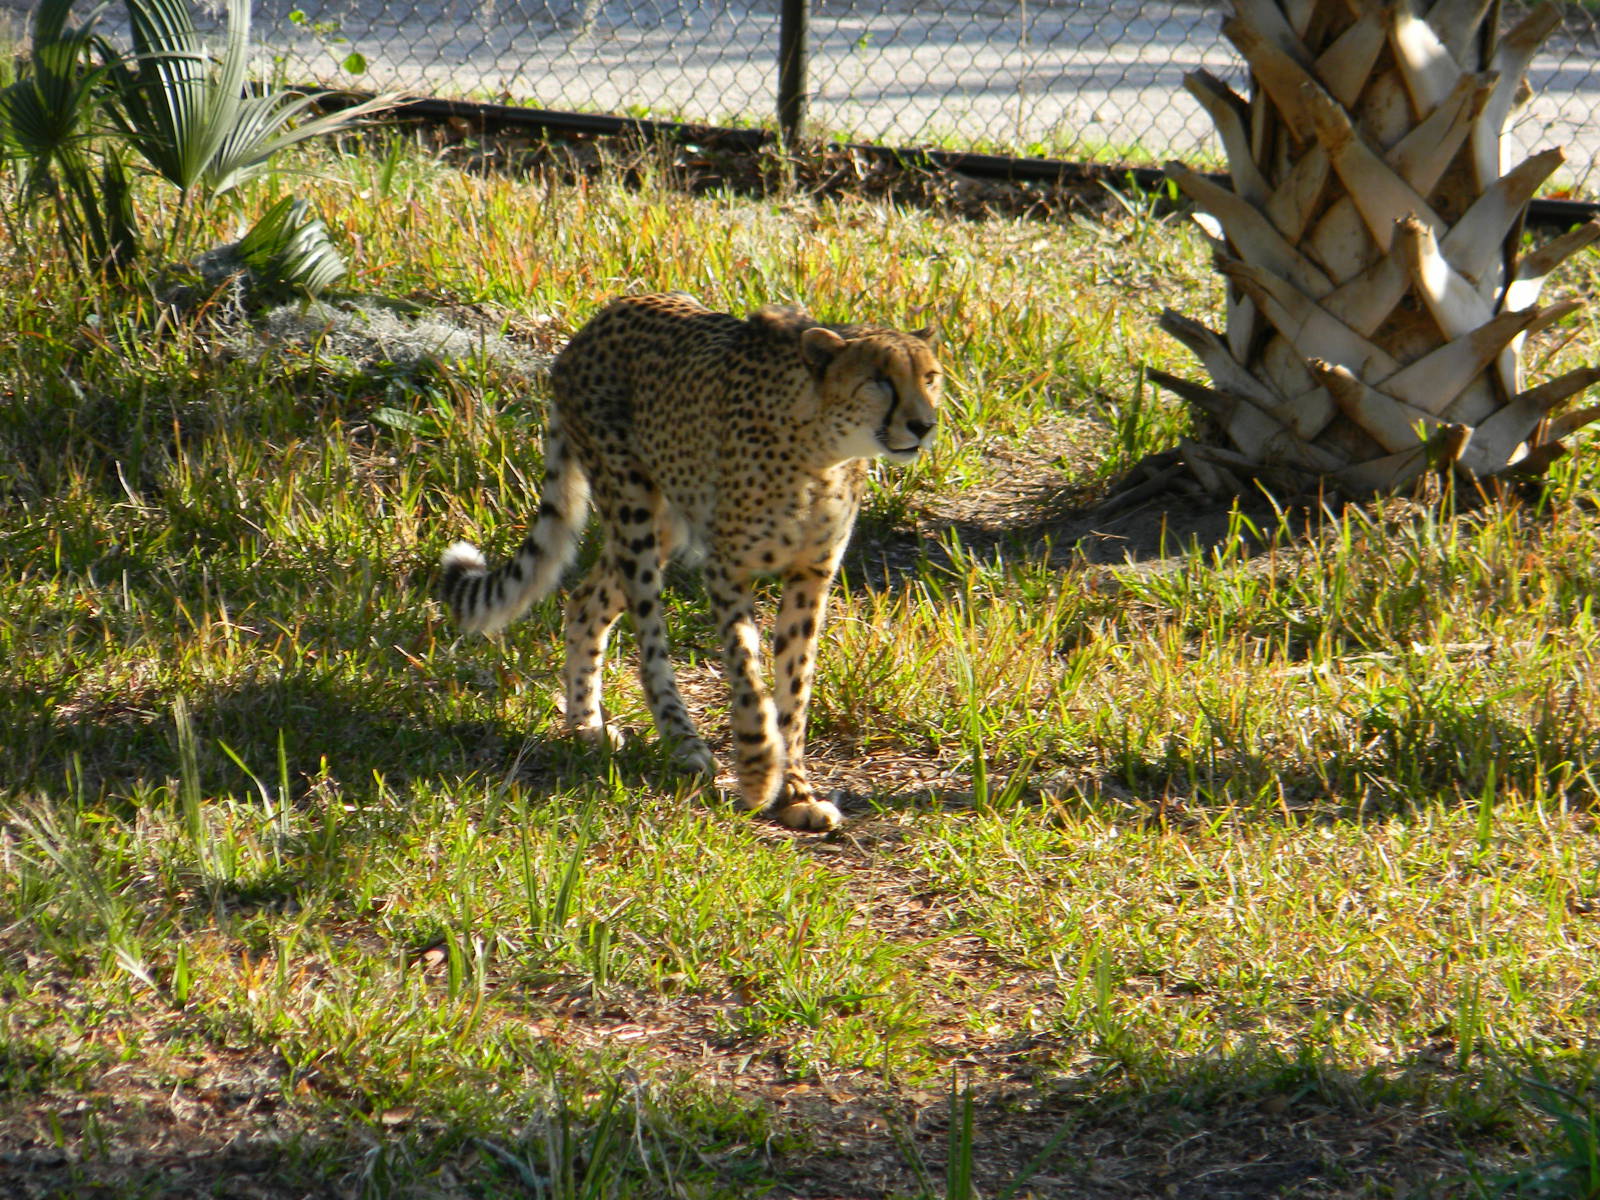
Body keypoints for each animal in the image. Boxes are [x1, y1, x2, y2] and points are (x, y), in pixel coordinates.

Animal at [439, 292, 942, 831]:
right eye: (881, 379)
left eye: (930, 377)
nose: (923, 425)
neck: (821, 452)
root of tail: (603, 316)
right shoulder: (726, 570)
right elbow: (748, 678)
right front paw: (758, 770)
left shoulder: (812, 575)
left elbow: (795, 685)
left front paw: (796, 793)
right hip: (632, 507)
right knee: (649, 645)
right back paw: (682, 743)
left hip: (666, 522)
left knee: (586, 600)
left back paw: (585, 724)